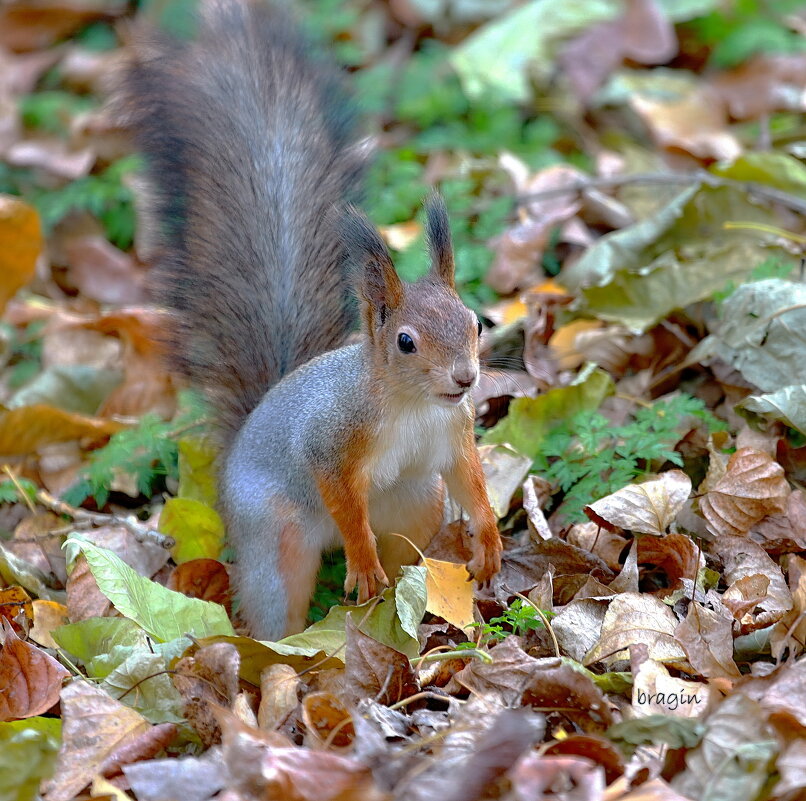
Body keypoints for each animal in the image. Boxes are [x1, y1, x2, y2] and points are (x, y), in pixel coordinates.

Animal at [120, 0, 502, 636]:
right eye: (405, 342)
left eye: (476, 324)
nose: (465, 378)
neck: (413, 407)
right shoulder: (331, 441)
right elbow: (341, 498)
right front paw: (363, 561)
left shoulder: (454, 437)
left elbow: (471, 483)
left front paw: (490, 542)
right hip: (277, 534)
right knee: (278, 598)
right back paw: (292, 643)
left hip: (415, 503)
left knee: (408, 545)